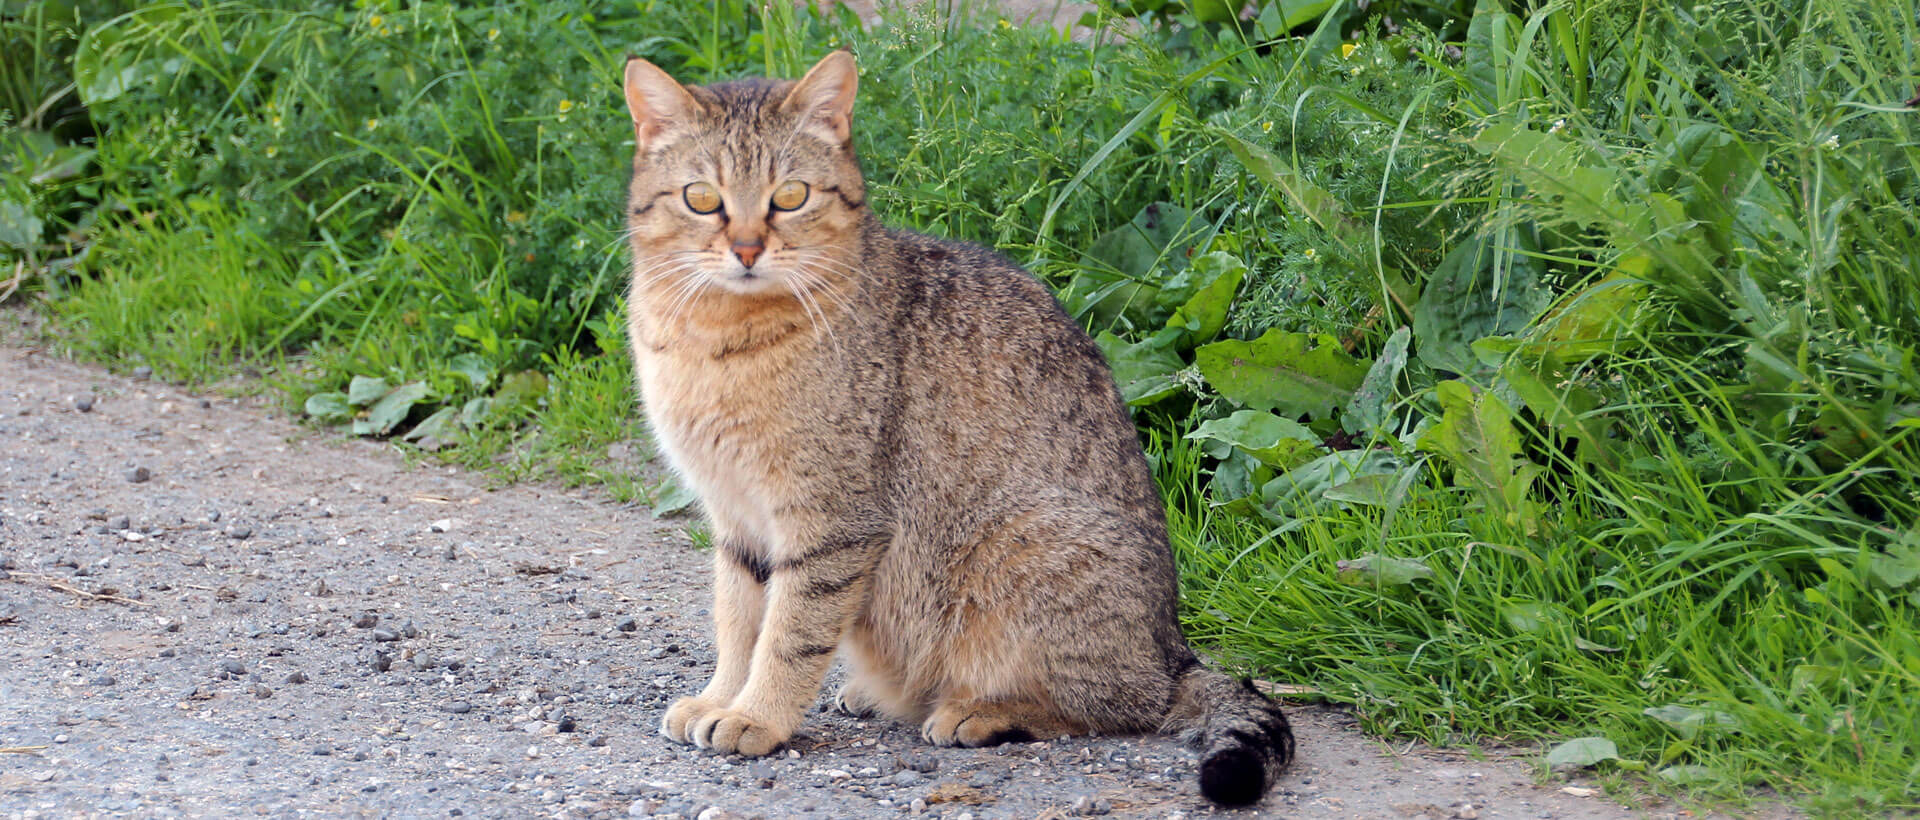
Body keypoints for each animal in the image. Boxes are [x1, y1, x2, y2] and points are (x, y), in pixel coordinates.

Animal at [622, 48, 1297, 806]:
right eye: (701, 199)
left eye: (790, 196)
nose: (744, 248)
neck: (713, 337)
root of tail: (1174, 648)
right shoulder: (735, 516)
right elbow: (739, 622)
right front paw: (723, 697)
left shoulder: (831, 519)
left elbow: (789, 632)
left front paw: (758, 716)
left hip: (1020, 545)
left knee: (1125, 704)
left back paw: (982, 710)